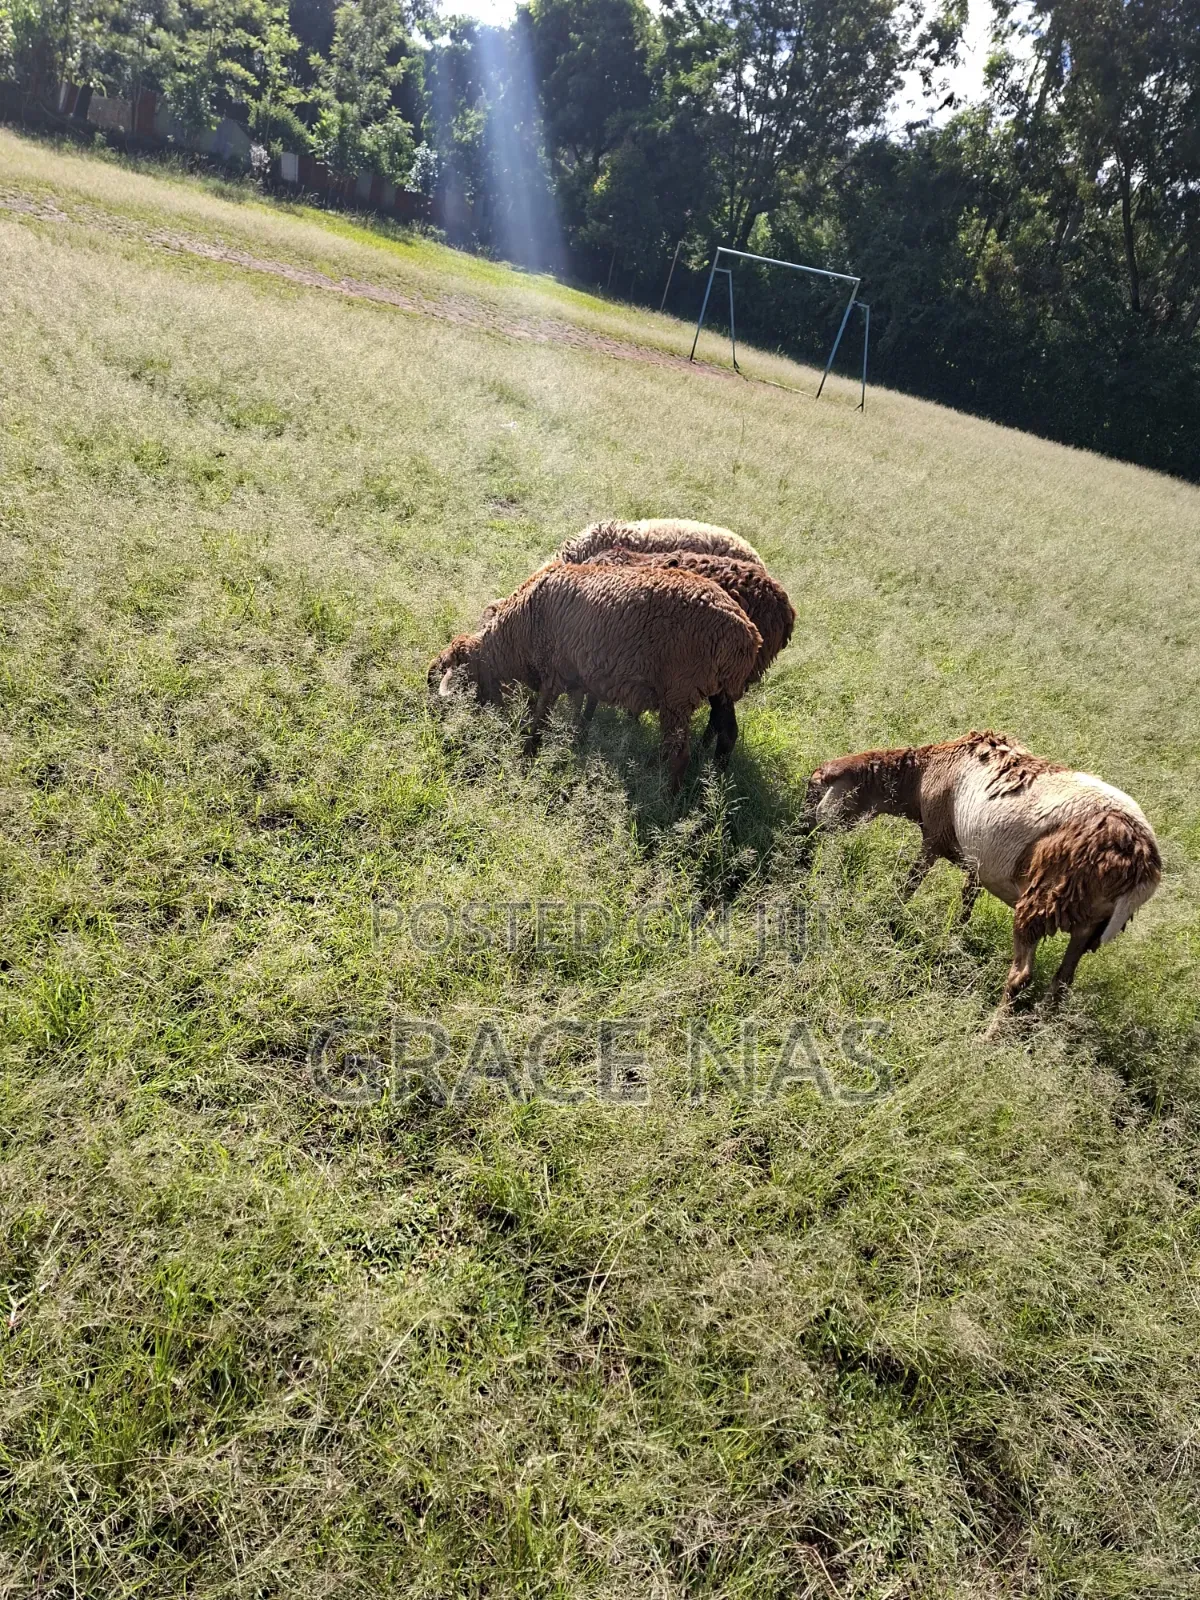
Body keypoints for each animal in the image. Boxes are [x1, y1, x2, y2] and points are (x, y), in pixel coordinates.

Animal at [429, 560, 763, 789]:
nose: (437, 725)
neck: (518, 630)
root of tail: (747, 634)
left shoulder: (554, 672)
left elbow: (540, 722)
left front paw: (527, 758)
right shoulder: (577, 677)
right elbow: (577, 715)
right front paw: (573, 744)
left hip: (679, 694)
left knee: (679, 755)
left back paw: (667, 802)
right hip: (720, 692)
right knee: (727, 734)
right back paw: (713, 784)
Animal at [802, 730, 1161, 1035]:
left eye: (815, 787)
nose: (803, 833)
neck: (920, 777)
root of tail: (1141, 861)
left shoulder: (934, 837)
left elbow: (910, 882)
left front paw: (887, 913)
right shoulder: (977, 863)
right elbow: (967, 901)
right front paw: (953, 938)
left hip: (1040, 900)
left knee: (1021, 977)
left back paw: (988, 1037)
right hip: (1088, 926)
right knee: (1062, 983)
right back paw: (1041, 1033)